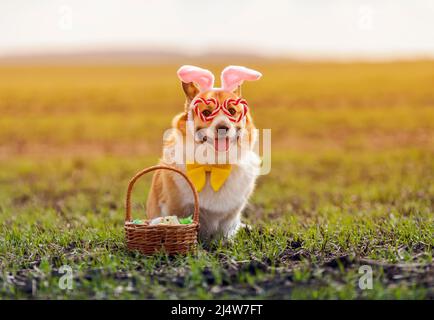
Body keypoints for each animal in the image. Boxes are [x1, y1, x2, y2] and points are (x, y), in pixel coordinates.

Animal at [146, 65, 262, 240]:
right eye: (206, 113)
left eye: (232, 111)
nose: (223, 128)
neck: (213, 166)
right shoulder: (177, 208)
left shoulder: (231, 215)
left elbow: (225, 231)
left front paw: (226, 243)